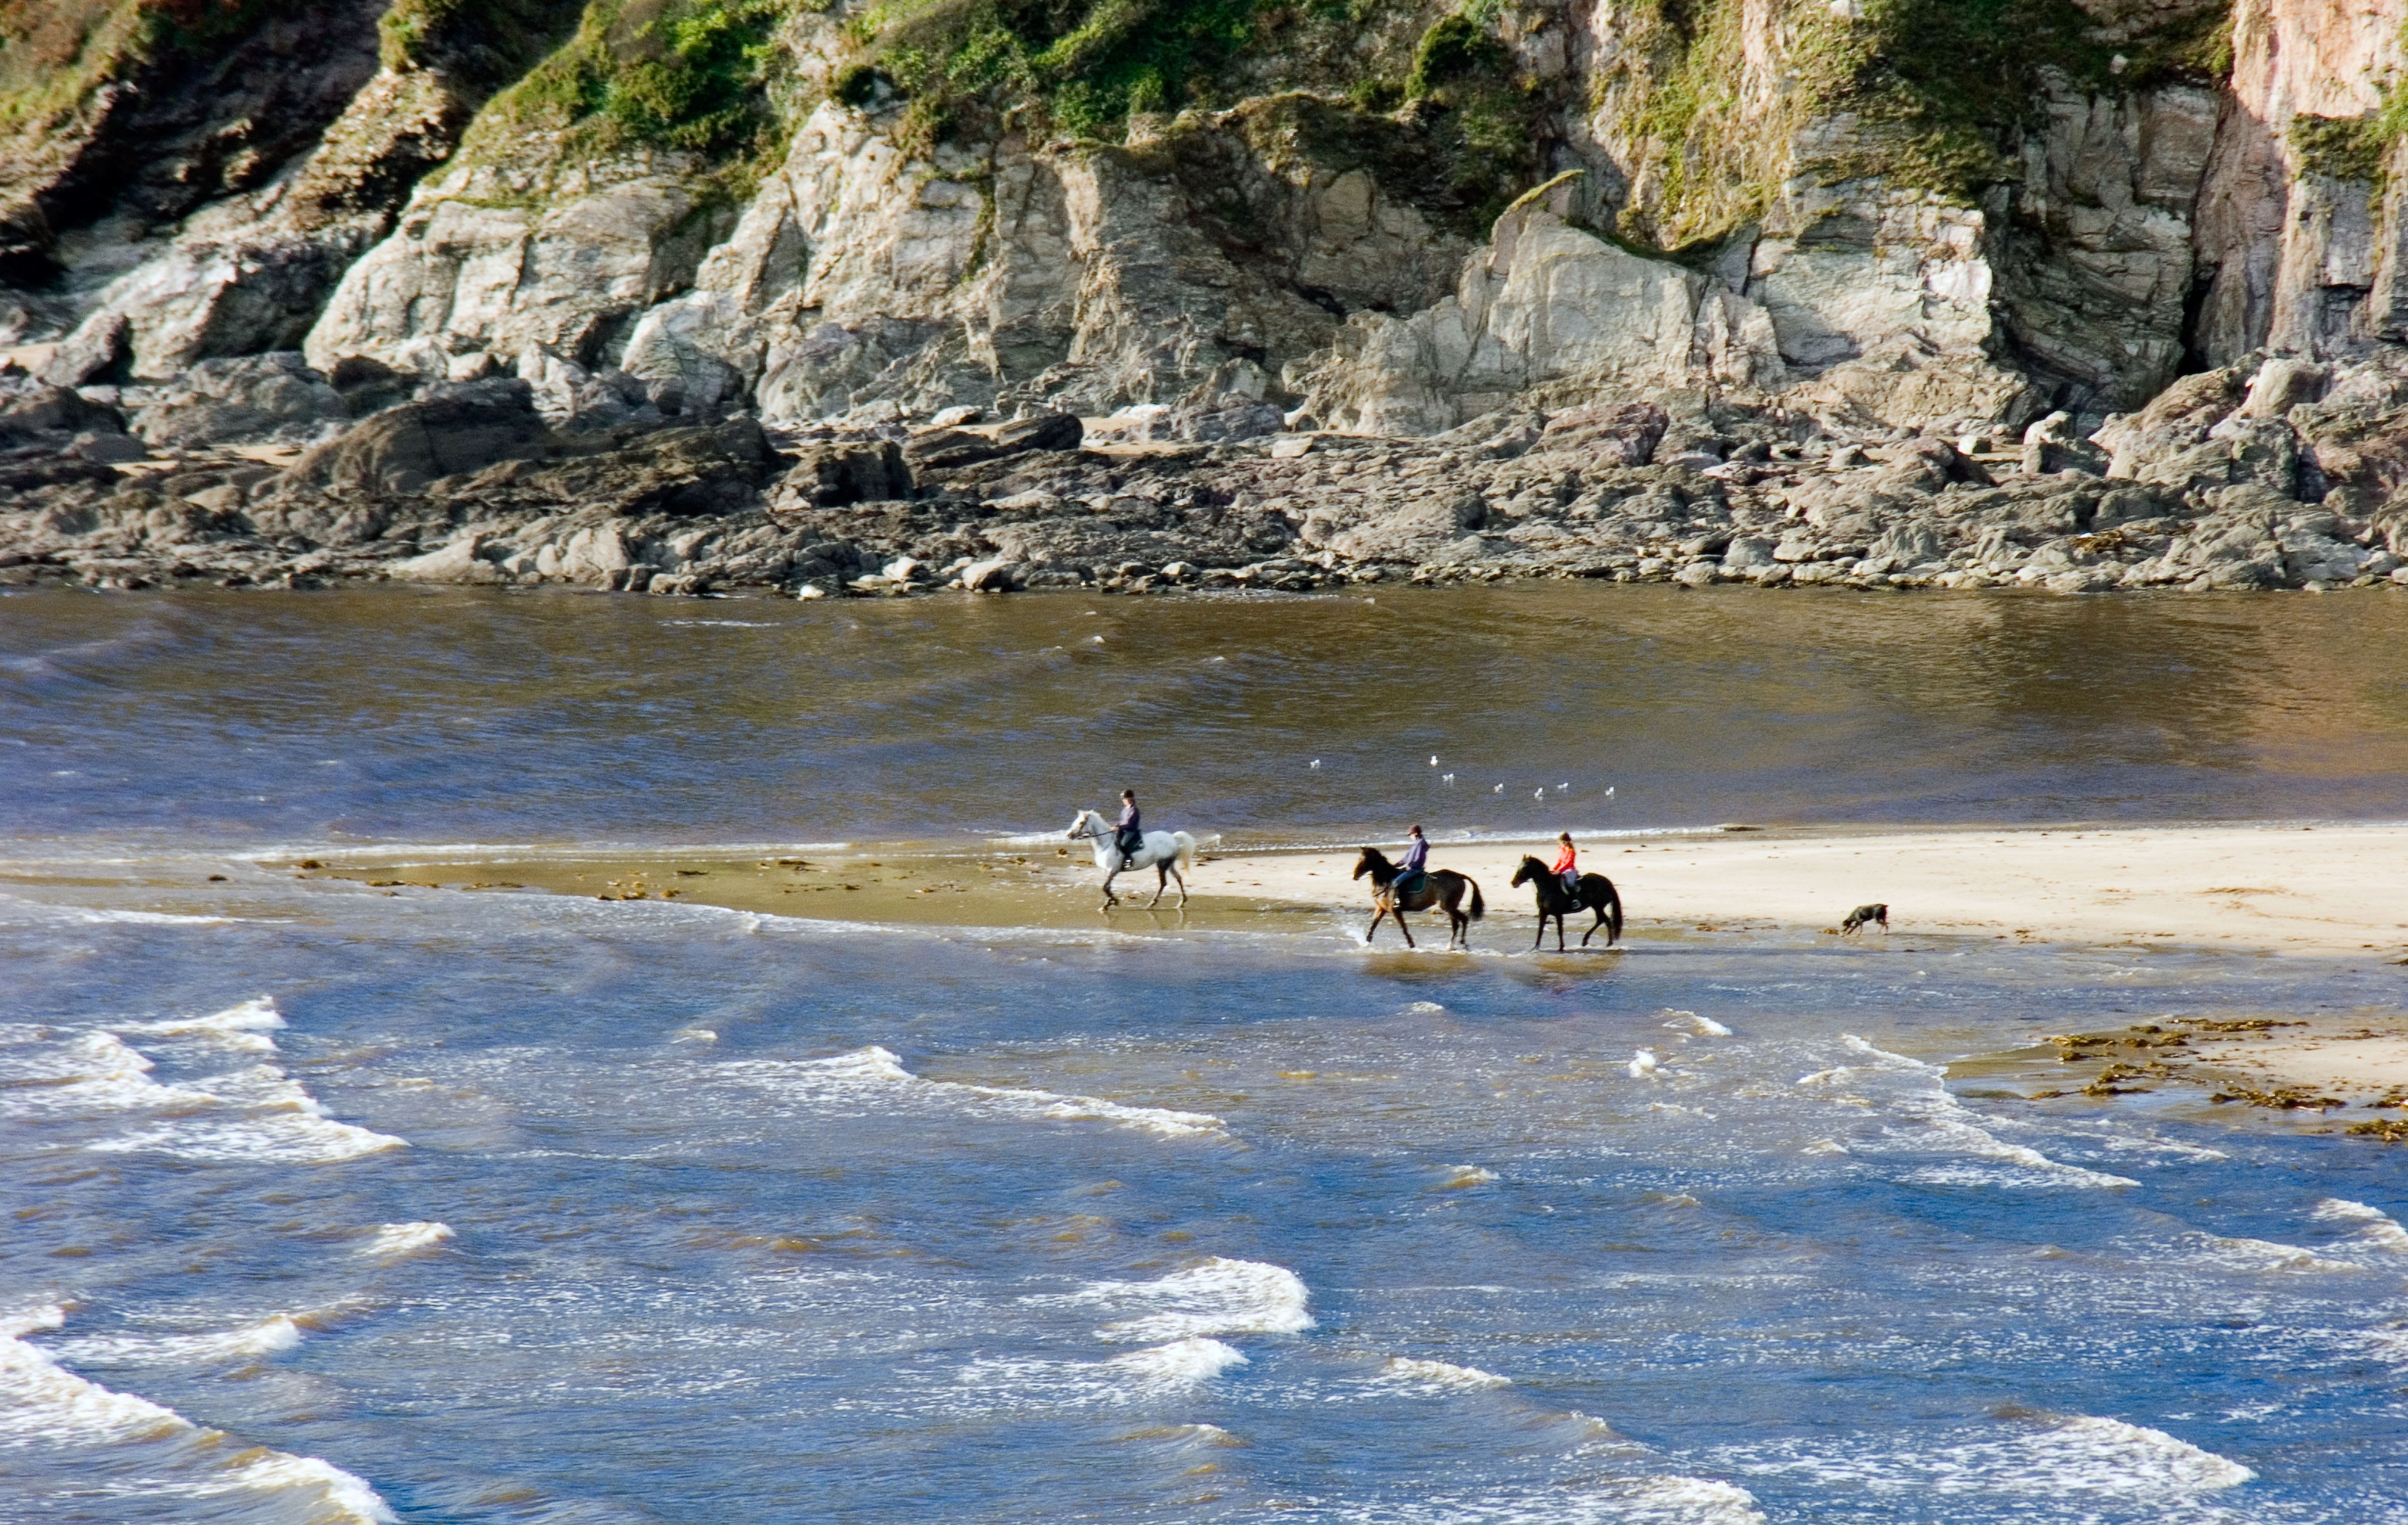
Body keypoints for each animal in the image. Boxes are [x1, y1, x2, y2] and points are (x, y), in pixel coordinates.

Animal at [1069, 809, 1199, 906]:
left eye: (1081, 823)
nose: (1069, 835)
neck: (1107, 845)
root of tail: (1173, 838)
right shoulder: (1107, 871)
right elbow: (1107, 887)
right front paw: (1108, 903)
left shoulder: (1113, 870)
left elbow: (1105, 887)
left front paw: (1113, 902)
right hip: (1168, 864)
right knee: (1178, 878)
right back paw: (1182, 901)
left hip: (1162, 864)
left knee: (1164, 883)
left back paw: (1152, 903)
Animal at [1358, 838, 1483, 944]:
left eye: (1362, 860)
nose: (1355, 875)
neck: (1386, 880)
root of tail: (1460, 876)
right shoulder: (1382, 908)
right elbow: (1374, 925)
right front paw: (1367, 942)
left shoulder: (1395, 910)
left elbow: (1404, 928)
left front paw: (1412, 945)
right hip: (1451, 907)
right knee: (1458, 923)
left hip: (1448, 906)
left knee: (1462, 921)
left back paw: (1457, 945)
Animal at [1512, 857, 1628, 954]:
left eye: (1524, 868)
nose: (1513, 883)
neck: (1548, 887)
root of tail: (1609, 883)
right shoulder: (1543, 912)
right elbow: (1540, 930)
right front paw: (1535, 948)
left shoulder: (1558, 913)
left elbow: (1560, 931)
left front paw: (1561, 948)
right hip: (1596, 907)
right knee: (1602, 920)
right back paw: (1589, 941)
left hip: (1598, 906)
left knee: (1605, 920)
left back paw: (1606, 943)